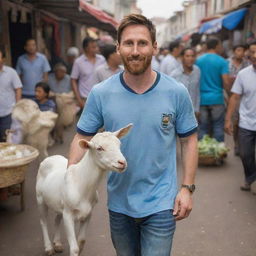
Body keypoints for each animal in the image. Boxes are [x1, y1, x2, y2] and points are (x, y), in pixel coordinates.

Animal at [36, 123, 133, 255]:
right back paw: (49, 247)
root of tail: (50, 157)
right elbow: (74, 247)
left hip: (58, 203)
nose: (122, 163)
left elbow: (81, 241)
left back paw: (58, 244)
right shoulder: (68, 214)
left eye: (119, 144)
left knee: (56, 219)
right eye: (99, 148)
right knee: (43, 221)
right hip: (40, 198)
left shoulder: (88, 213)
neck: (82, 185)